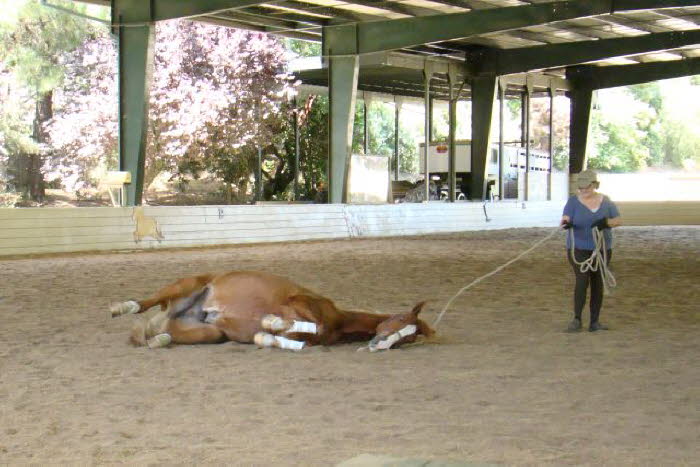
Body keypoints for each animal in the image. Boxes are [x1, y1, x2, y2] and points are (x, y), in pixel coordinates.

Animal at [110, 270, 434, 352]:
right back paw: (121, 307)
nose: (380, 344)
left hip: (209, 332)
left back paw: (157, 340)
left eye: (409, 338)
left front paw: (273, 336)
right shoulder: (295, 303)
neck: (339, 321)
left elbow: (289, 340)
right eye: (400, 320)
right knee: (145, 303)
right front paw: (273, 324)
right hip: (185, 285)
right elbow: (297, 323)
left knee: (164, 335)